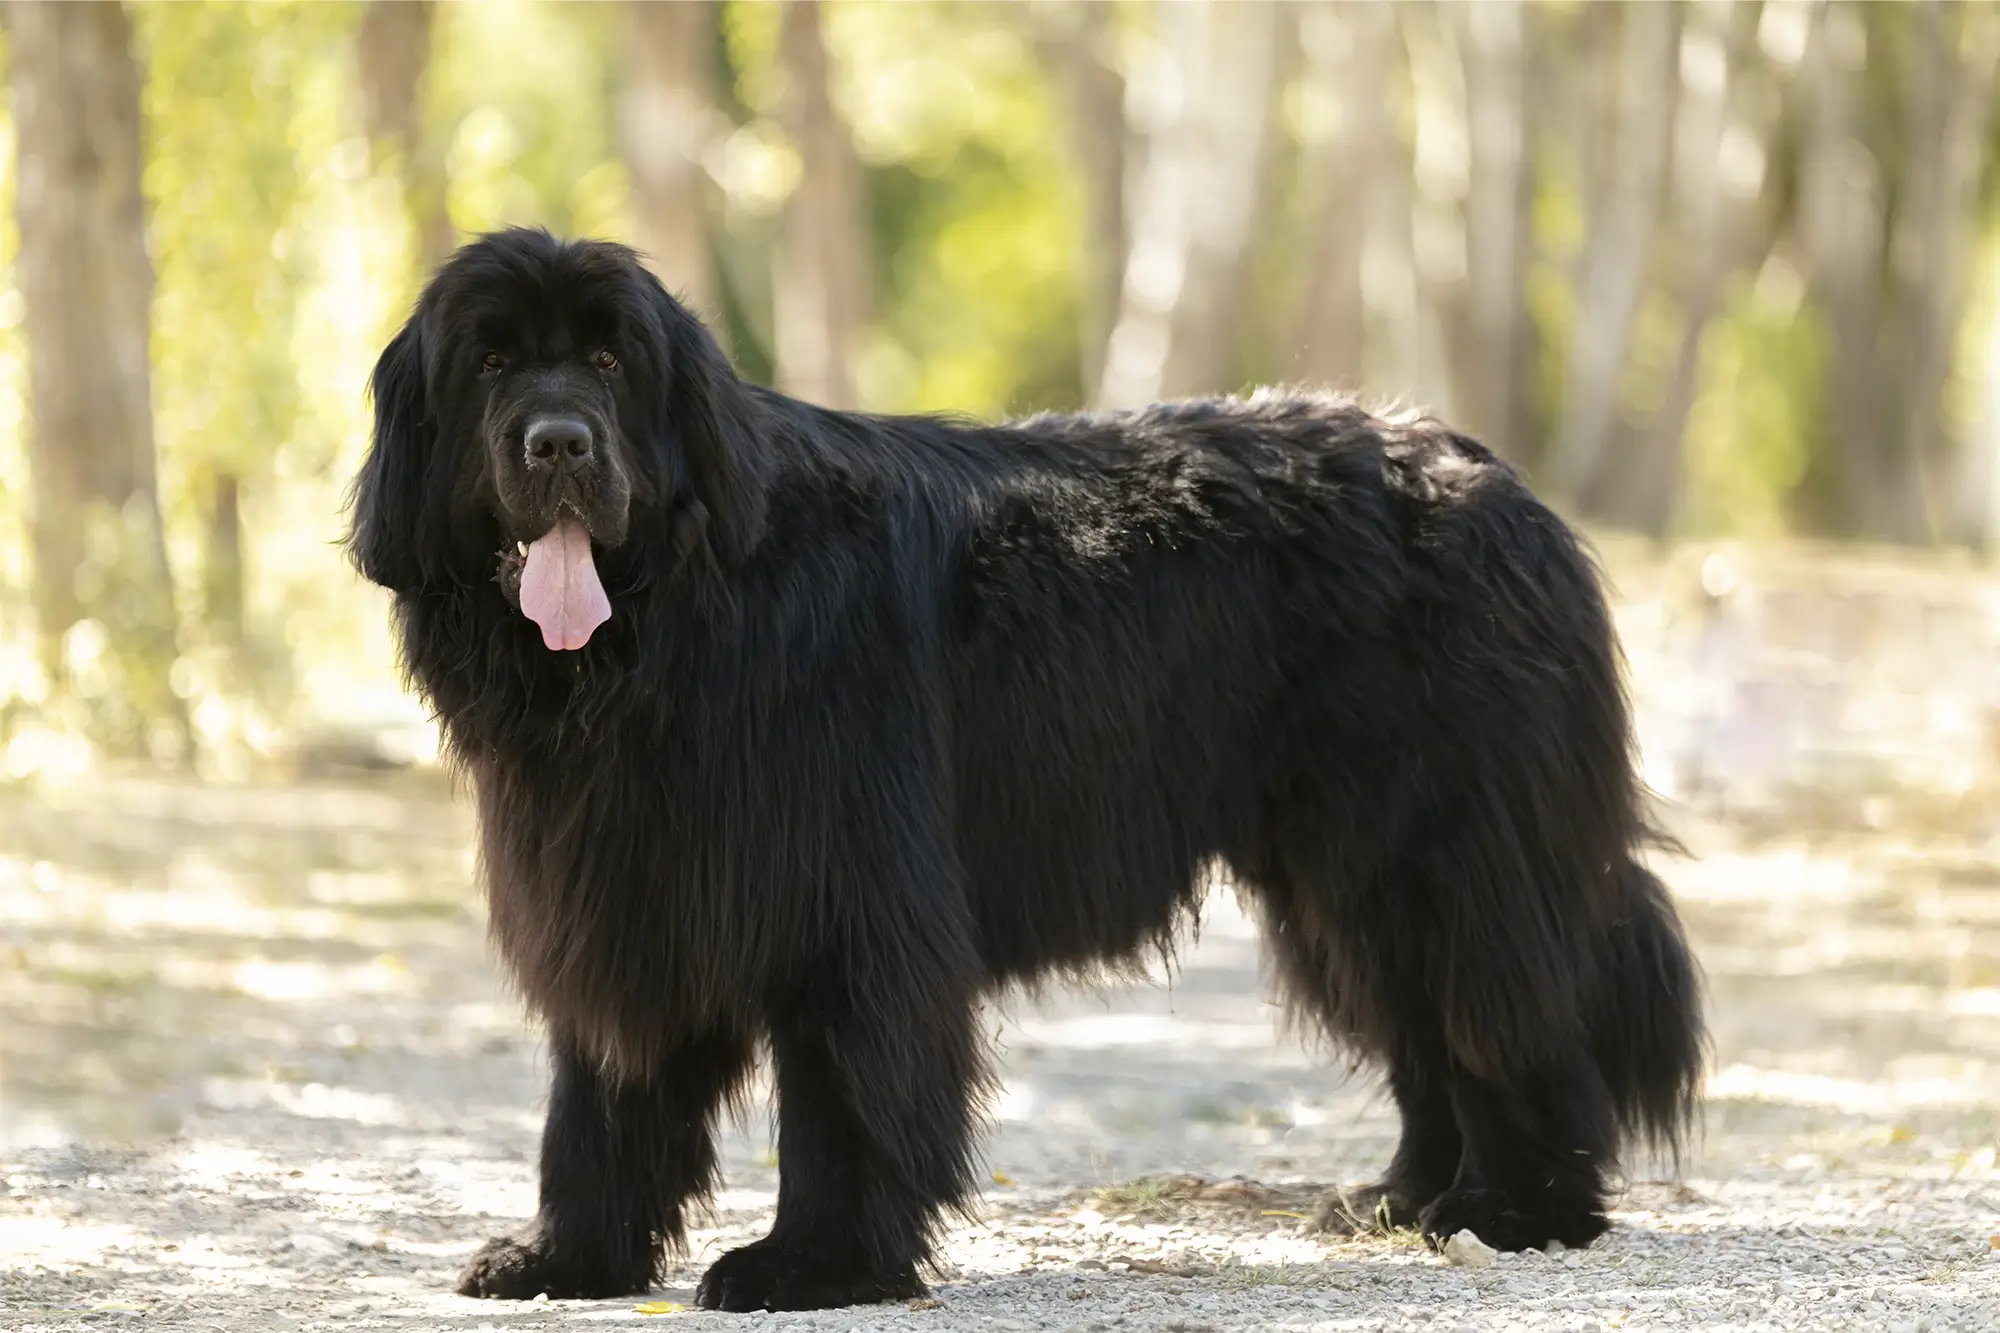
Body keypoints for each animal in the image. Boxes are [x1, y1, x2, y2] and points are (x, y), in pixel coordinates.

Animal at [348, 228, 1704, 1304]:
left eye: (613, 362)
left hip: (1441, 846)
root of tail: (1491, 476)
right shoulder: (625, 890)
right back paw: (1404, 1196)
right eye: (489, 363)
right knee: (1421, 1023)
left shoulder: (848, 903)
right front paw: (567, 1257)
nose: (560, 444)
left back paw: (1517, 1210)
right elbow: (600, 1101)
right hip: (1339, 871)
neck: (677, 619)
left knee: (1506, 1016)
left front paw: (815, 1265)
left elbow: (841, 1098)